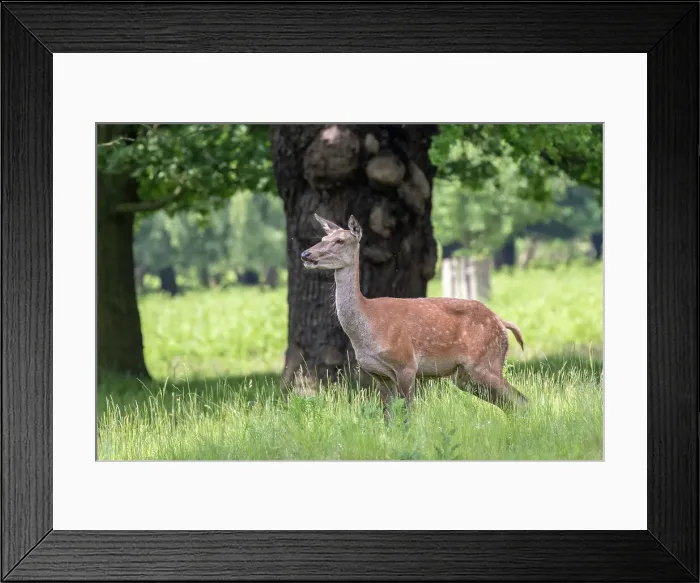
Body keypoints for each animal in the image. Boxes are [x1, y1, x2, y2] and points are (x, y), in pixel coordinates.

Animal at [301, 213, 529, 422]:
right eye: (322, 238)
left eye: (340, 240)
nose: (306, 254)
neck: (369, 325)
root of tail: (502, 322)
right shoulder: (378, 374)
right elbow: (388, 417)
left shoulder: (407, 364)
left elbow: (407, 414)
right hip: (465, 376)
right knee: (510, 403)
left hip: (485, 361)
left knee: (520, 399)